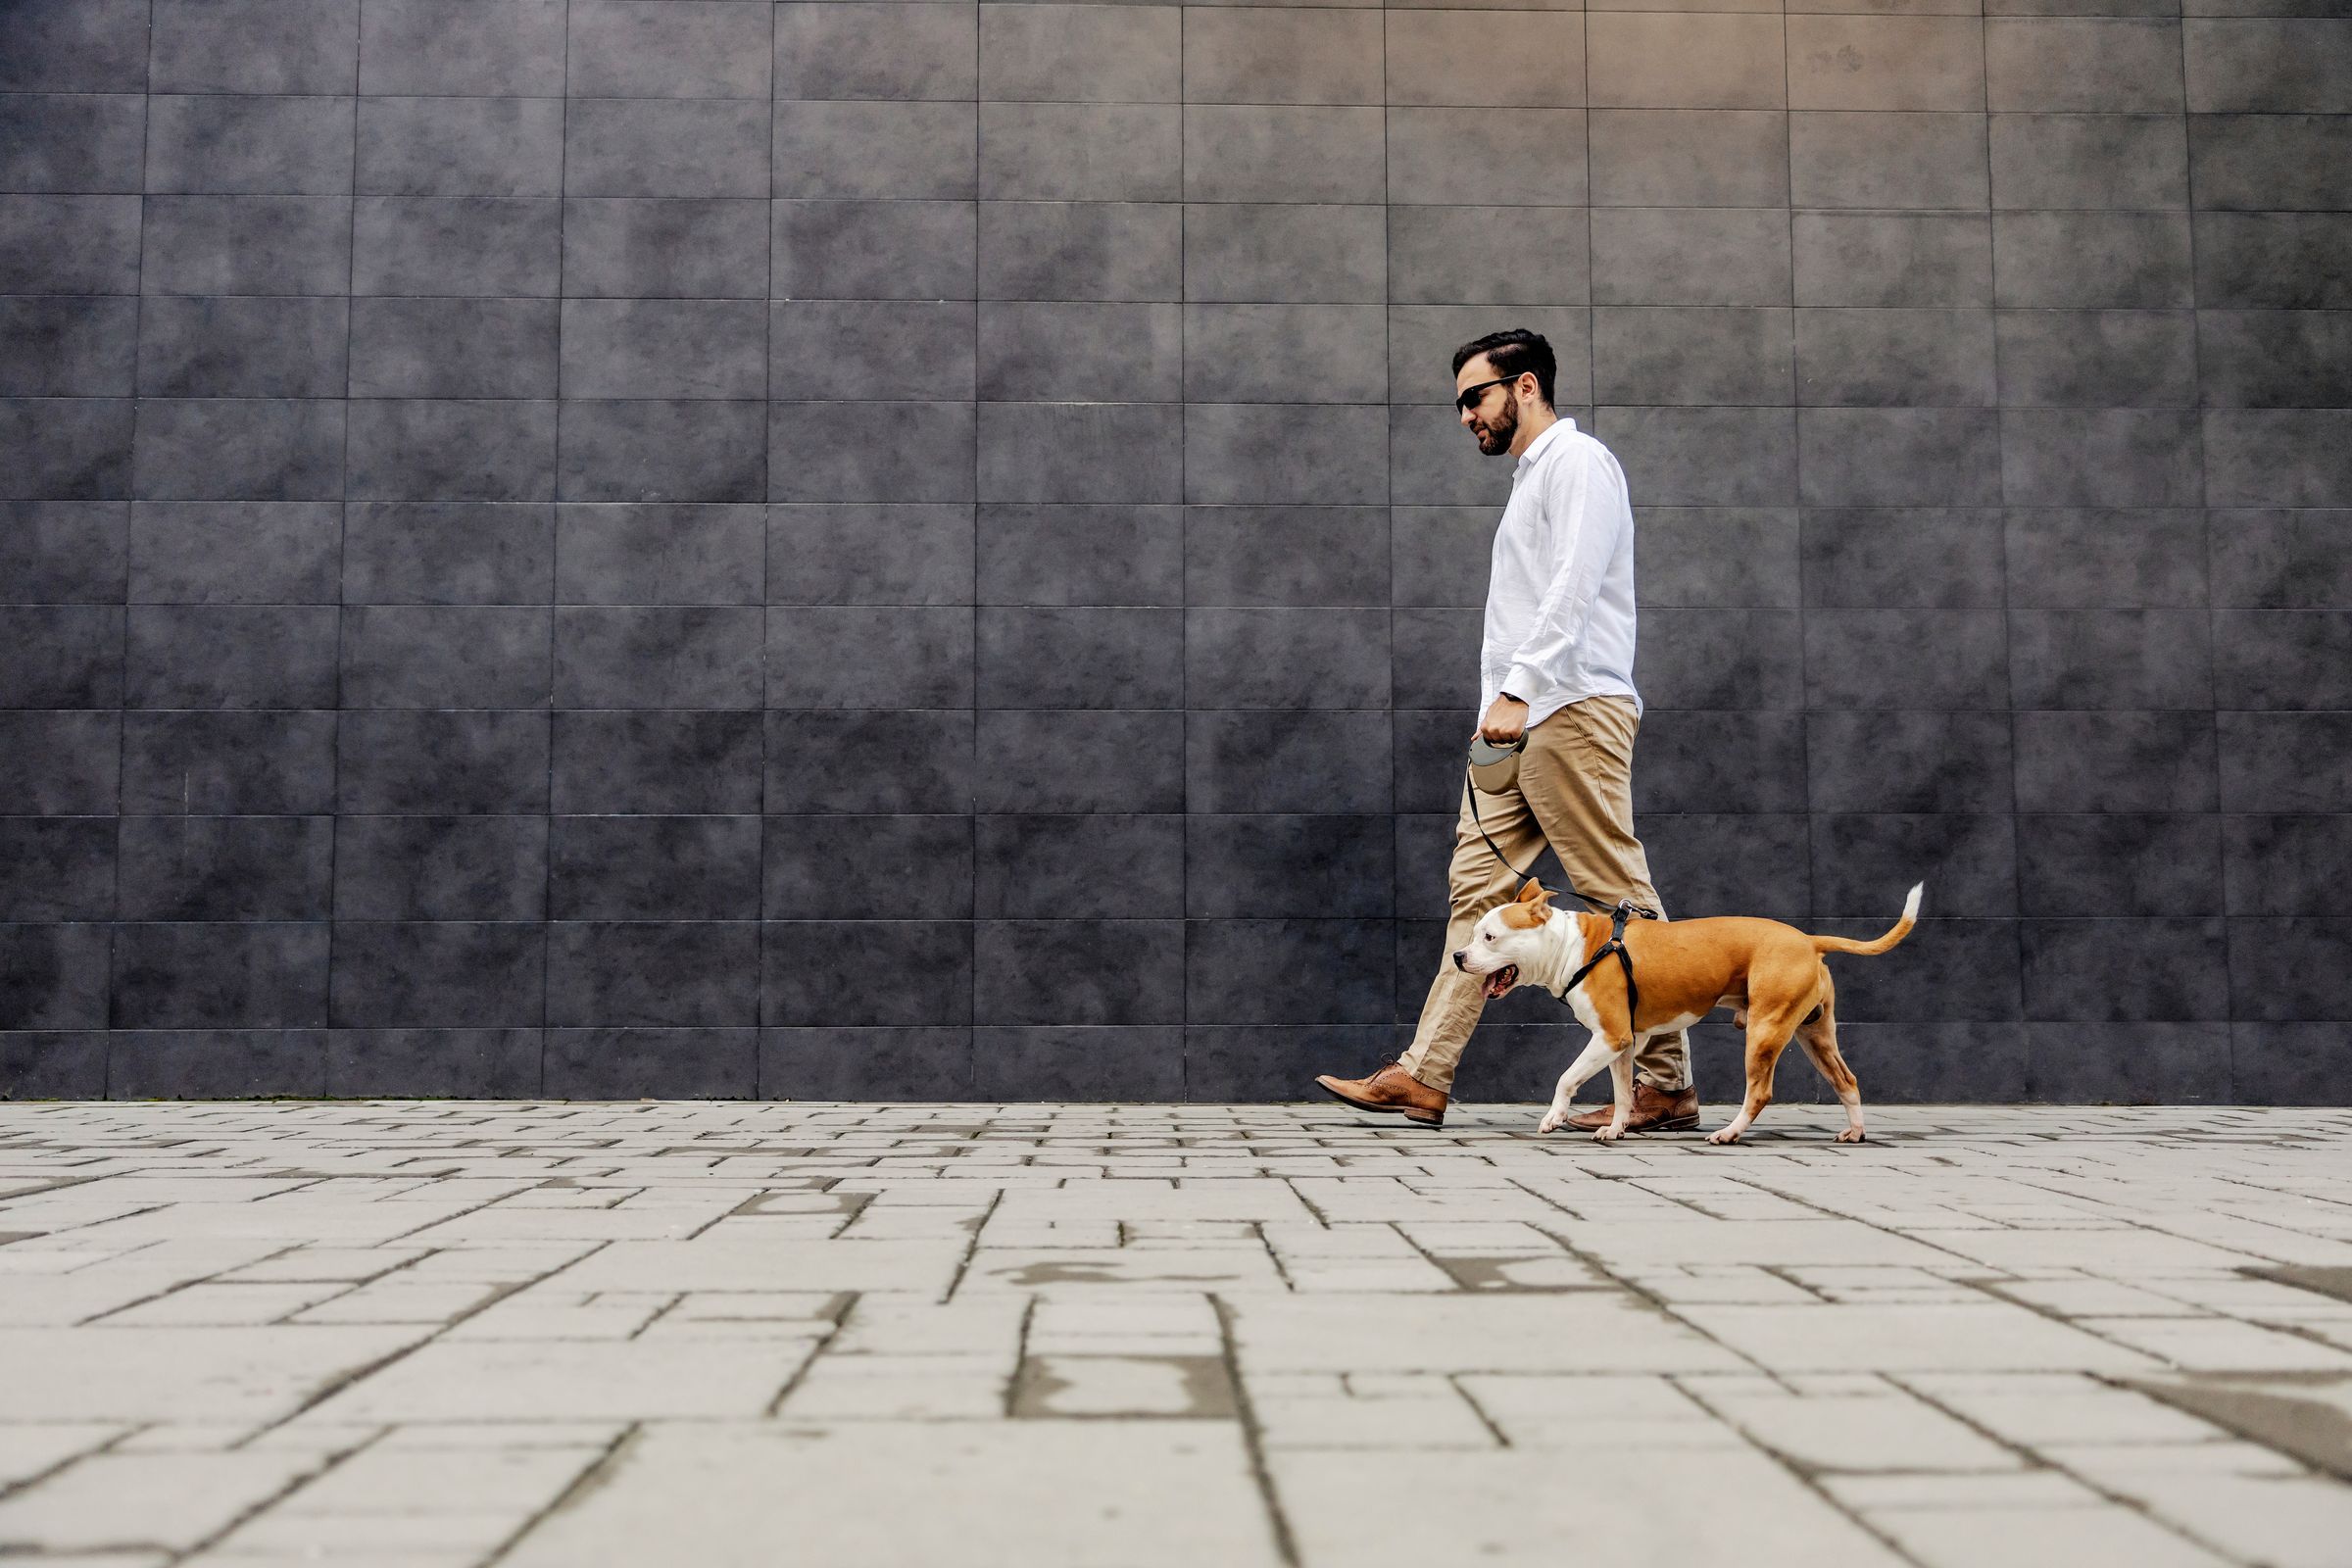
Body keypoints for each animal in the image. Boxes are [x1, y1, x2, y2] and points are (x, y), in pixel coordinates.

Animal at [1448, 888, 1929, 1147]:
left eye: (1490, 937)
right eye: (1475, 935)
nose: (1457, 956)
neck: (1572, 947)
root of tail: (1809, 940)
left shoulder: (1609, 1037)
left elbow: (1566, 1077)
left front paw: (1553, 1118)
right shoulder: (1622, 1043)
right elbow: (1622, 1093)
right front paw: (1616, 1129)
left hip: (1765, 1030)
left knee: (1760, 1092)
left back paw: (1729, 1134)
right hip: (1815, 1034)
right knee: (1846, 1080)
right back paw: (1855, 1133)